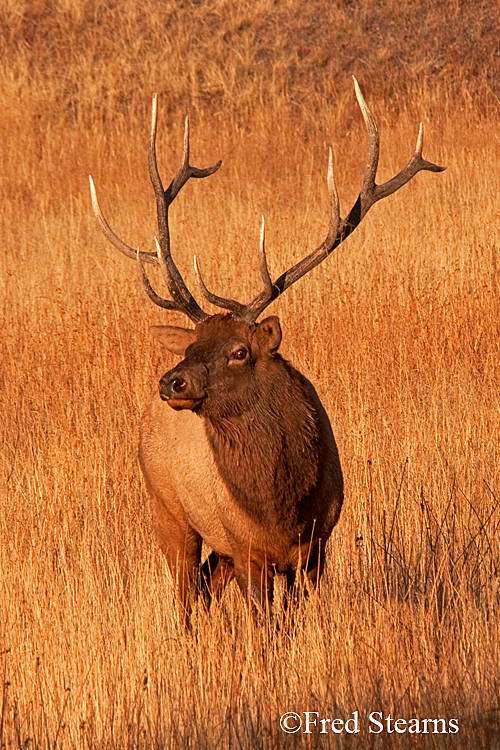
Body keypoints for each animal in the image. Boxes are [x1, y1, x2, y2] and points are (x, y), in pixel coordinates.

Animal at [88, 78, 444, 616]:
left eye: (239, 351)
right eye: (192, 346)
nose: (172, 381)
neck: (283, 509)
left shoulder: (317, 547)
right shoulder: (247, 549)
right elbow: (264, 623)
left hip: (219, 545)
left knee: (206, 587)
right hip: (165, 508)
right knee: (186, 595)